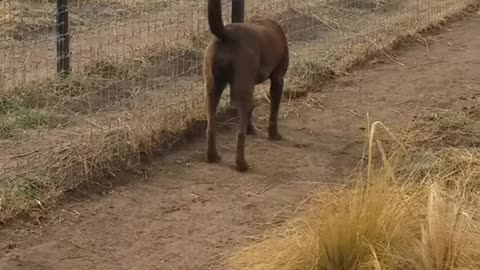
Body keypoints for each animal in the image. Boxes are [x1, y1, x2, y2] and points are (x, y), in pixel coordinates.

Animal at [202, 0, 288, 172]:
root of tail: (226, 33)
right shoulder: (278, 79)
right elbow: (273, 112)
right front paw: (273, 134)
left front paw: (251, 130)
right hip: (243, 87)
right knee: (239, 133)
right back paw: (241, 164)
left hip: (212, 88)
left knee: (211, 127)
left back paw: (213, 157)